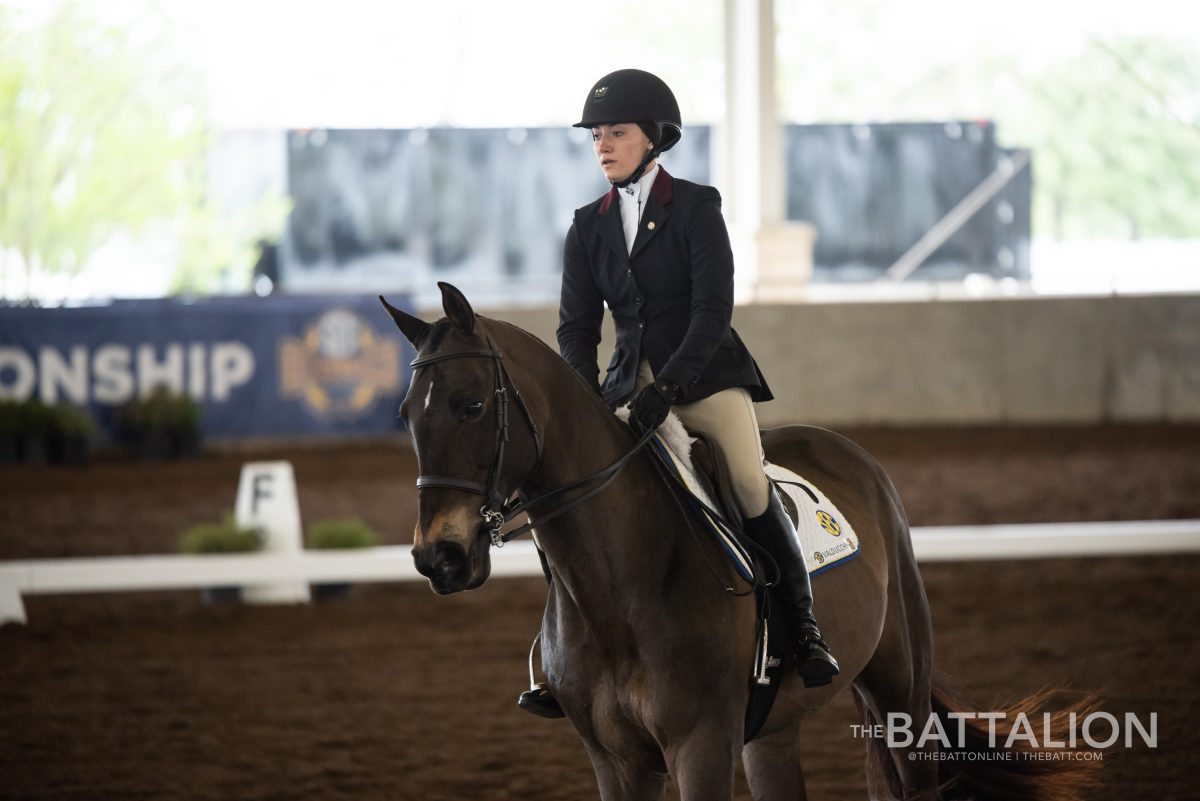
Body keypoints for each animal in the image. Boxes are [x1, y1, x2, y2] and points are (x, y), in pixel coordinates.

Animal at [381, 282, 1099, 801]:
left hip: (902, 694)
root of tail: (851, 453)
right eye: (407, 414)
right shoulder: (616, 761)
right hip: (771, 735)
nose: (438, 556)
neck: (614, 584)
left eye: (472, 404)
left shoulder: (701, 746)